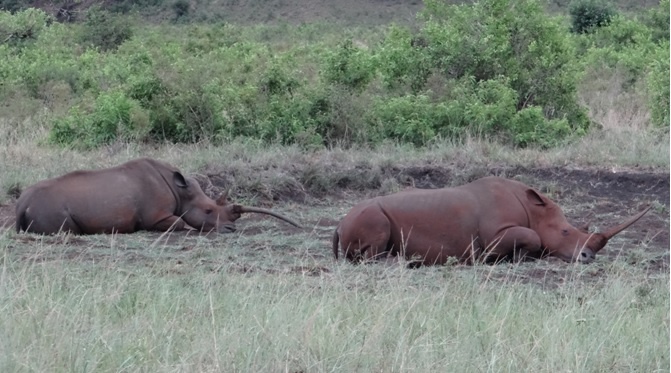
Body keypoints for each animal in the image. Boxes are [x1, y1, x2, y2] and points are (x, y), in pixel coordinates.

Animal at [14, 156, 300, 232]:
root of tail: (20, 203)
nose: (230, 229)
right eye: (209, 210)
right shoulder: (155, 216)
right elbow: (180, 222)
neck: (181, 191)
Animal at [334, 175, 652, 264]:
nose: (588, 257)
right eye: (565, 231)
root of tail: (338, 224)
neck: (532, 209)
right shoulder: (494, 234)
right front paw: (502, 258)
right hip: (370, 215)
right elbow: (532, 236)